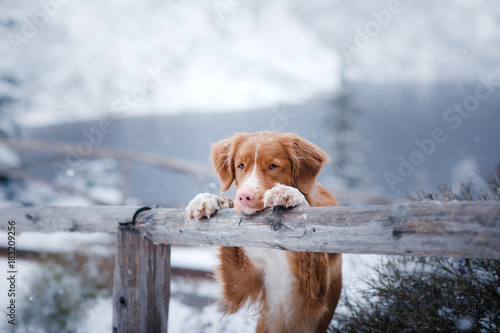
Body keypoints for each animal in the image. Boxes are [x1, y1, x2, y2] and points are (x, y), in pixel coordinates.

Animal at [188, 131, 344, 330]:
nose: (244, 197)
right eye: (240, 165)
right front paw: (208, 200)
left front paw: (288, 193)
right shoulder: (242, 279)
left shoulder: (311, 295)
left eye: (273, 166)